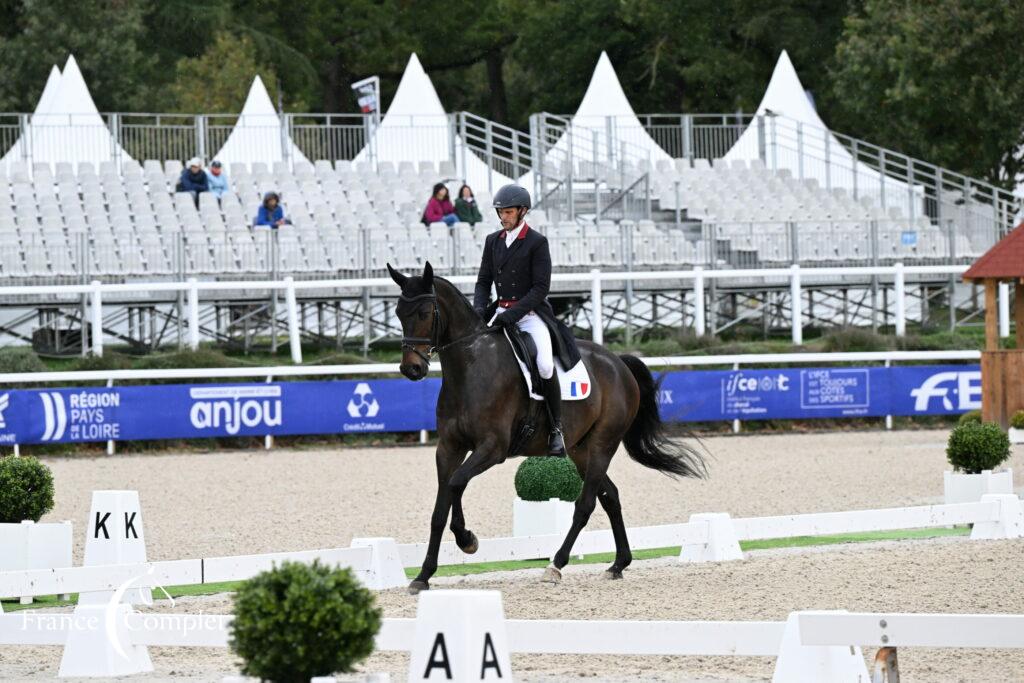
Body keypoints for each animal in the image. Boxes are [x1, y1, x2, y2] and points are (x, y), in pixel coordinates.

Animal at [385, 262, 704, 593]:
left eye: (424, 312)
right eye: (398, 312)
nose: (411, 369)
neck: (470, 368)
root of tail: (618, 363)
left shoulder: (492, 448)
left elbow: (456, 483)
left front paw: (467, 540)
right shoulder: (448, 448)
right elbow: (439, 509)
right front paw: (423, 576)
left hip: (603, 444)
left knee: (585, 504)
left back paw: (556, 565)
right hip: (580, 450)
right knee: (610, 497)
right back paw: (618, 564)